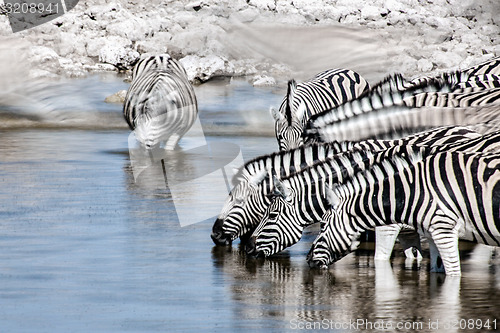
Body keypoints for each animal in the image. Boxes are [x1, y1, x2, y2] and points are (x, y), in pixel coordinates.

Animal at [306, 148, 500, 274]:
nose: (308, 260)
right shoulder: (432, 235)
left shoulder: (444, 230)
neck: (413, 191)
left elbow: (453, 275)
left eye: (322, 225)